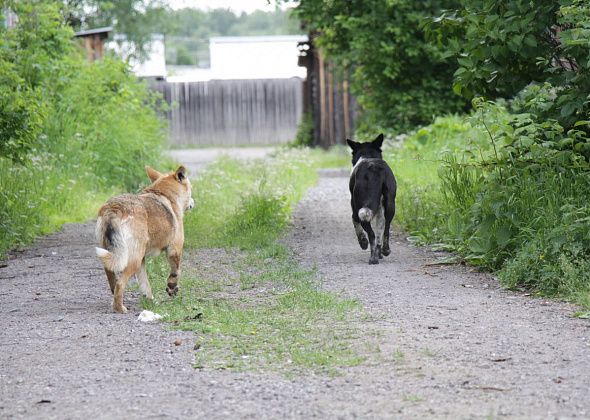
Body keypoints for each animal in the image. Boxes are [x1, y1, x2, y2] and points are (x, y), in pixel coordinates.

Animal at [95, 166, 194, 314]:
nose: (193, 202)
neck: (166, 196)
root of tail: (114, 208)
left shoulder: (142, 260)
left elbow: (144, 282)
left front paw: (149, 299)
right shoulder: (174, 249)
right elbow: (176, 271)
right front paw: (172, 287)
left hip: (116, 254)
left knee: (111, 277)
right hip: (132, 259)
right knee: (120, 283)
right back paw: (119, 308)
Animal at [346, 135, 398, 264]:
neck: (367, 155)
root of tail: (374, 168)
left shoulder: (354, 207)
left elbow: (355, 222)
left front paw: (363, 242)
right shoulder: (380, 210)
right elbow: (380, 229)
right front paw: (379, 253)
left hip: (361, 208)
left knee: (371, 233)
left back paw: (373, 258)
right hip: (390, 204)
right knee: (386, 229)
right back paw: (385, 251)